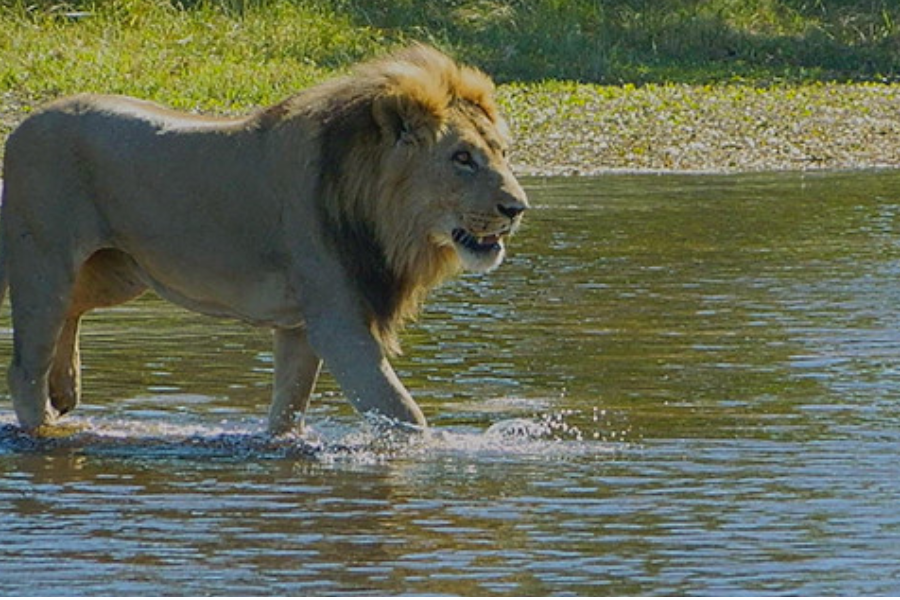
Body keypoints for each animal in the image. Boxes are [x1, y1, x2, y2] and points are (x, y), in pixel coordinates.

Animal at [0, 43, 528, 436]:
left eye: (502, 153)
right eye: (462, 158)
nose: (517, 208)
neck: (388, 222)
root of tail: (22, 125)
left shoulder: (300, 328)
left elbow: (287, 411)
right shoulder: (337, 322)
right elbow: (403, 415)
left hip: (121, 272)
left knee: (74, 309)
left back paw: (66, 388)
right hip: (44, 267)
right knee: (25, 370)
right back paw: (48, 424)